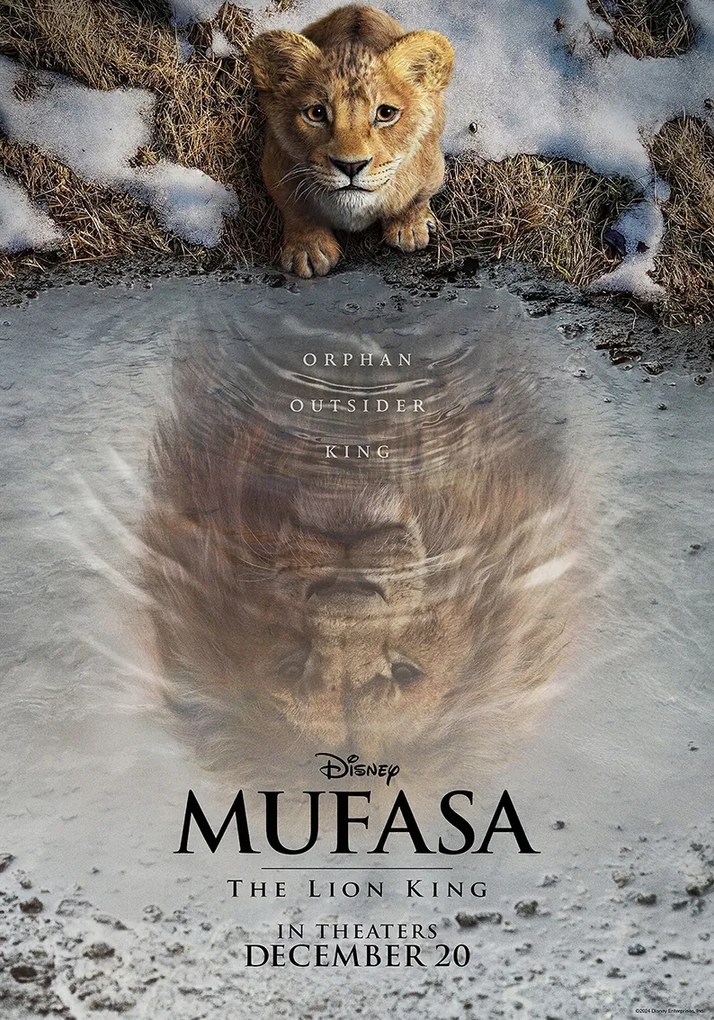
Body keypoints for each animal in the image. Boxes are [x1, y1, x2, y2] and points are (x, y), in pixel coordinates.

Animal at [248, 5, 455, 278]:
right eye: (316, 113)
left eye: (386, 113)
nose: (350, 166)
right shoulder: (275, 164)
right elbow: (296, 208)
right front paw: (309, 250)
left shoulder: (432, 167)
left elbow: (416, 198)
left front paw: (410, 228)